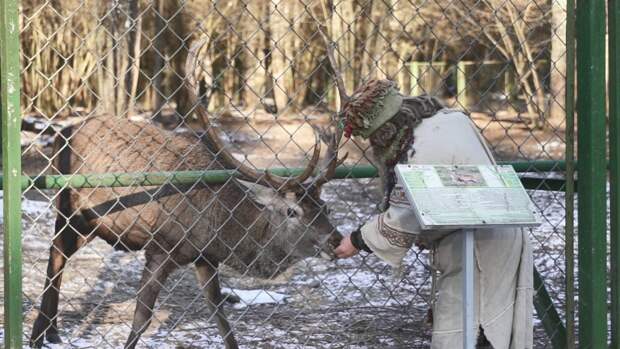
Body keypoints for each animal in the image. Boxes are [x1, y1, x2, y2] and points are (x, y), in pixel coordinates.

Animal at [29, 38, 352, 348]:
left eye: (325, 207)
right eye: (292, 211)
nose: (336, 239)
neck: (220, 228)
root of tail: (60, 135)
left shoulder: (205, 258)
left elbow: (220, 318)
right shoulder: (161, 248)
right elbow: (142, 318)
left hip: (92, 223)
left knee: (59, 255)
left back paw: (51, 332)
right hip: (70, 207)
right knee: (56, 254)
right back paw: (38, 336)